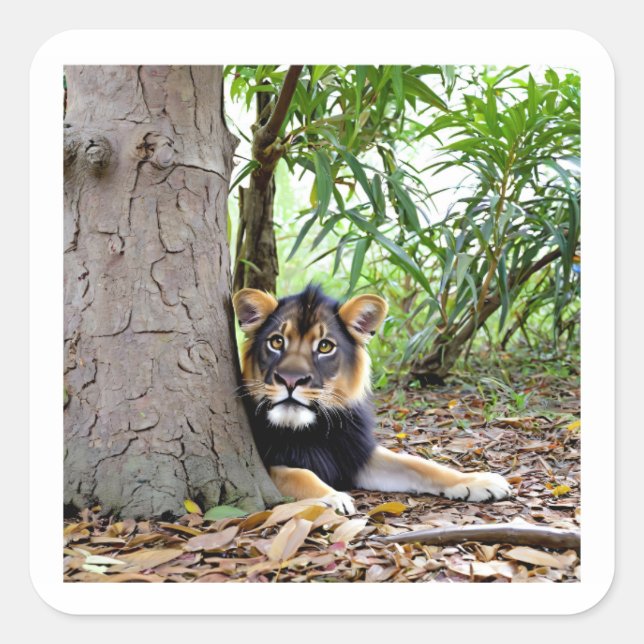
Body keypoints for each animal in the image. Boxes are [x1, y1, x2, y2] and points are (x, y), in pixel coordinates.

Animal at [233, 284, 511, 514]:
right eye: (276, 342)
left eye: (325, 346)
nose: (291, 380)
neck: (313, 431)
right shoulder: (268, 464)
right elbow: (298, 475)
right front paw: (333, 498)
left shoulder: (355, 452)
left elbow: (420, 464)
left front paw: (480, 481)